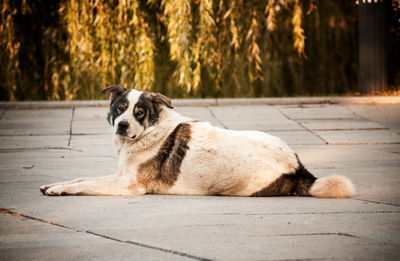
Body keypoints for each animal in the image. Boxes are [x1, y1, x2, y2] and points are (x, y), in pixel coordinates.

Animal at [39, 85, 354, 197]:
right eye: (119, 108)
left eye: (139, 112)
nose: (122, 125)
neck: (150, 132)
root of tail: (299, 169)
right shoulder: (120, 175)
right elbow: (81, 178)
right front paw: (53, 185)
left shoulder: (129, 185)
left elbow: (85, 185)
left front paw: (60, 190)